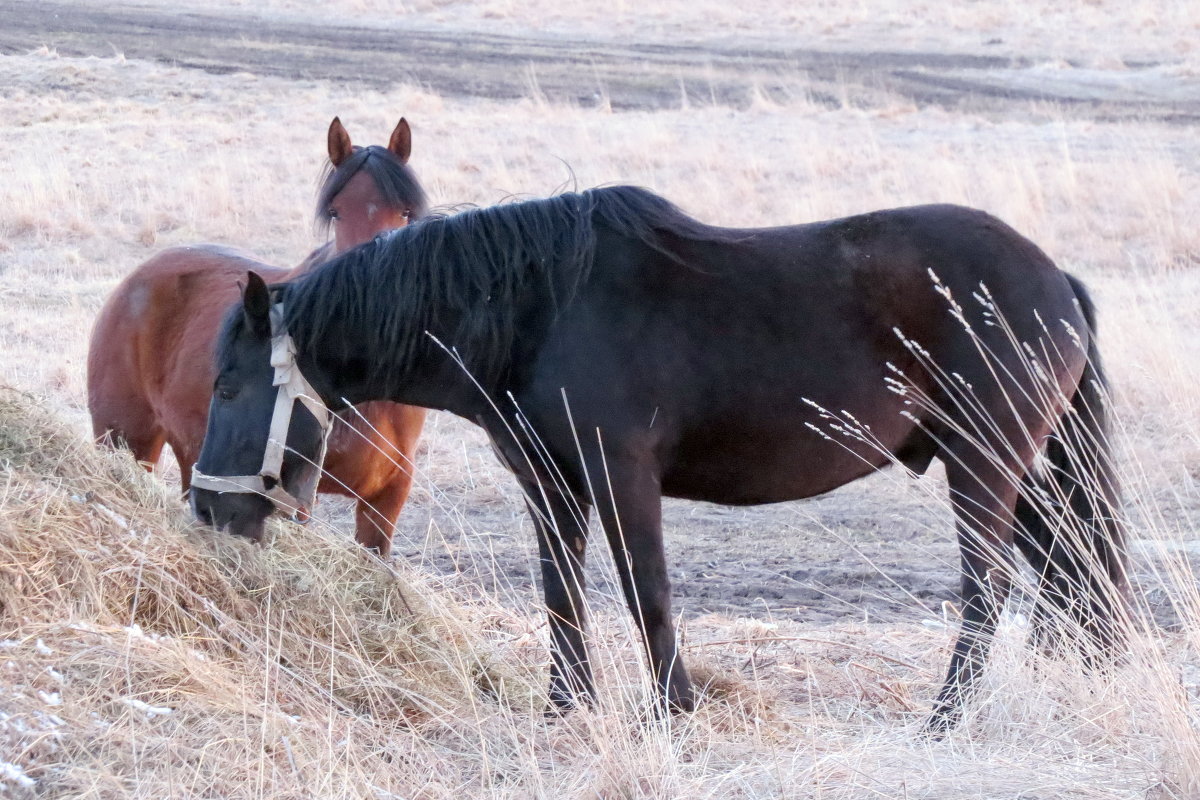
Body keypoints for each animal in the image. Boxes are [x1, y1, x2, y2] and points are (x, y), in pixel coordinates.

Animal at [189, 185, 1123, 734]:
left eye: (228, 386)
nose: (206, 508)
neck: (540, 309)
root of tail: (1054, 281)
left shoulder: (621, 472)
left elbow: (649, 592)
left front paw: (671, 712)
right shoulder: (551, 482)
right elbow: (562, 595)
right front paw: (566, 711)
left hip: (985, 463)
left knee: (993, 587)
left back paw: (946, 719)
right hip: (1022, 473)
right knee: (1070, 575)